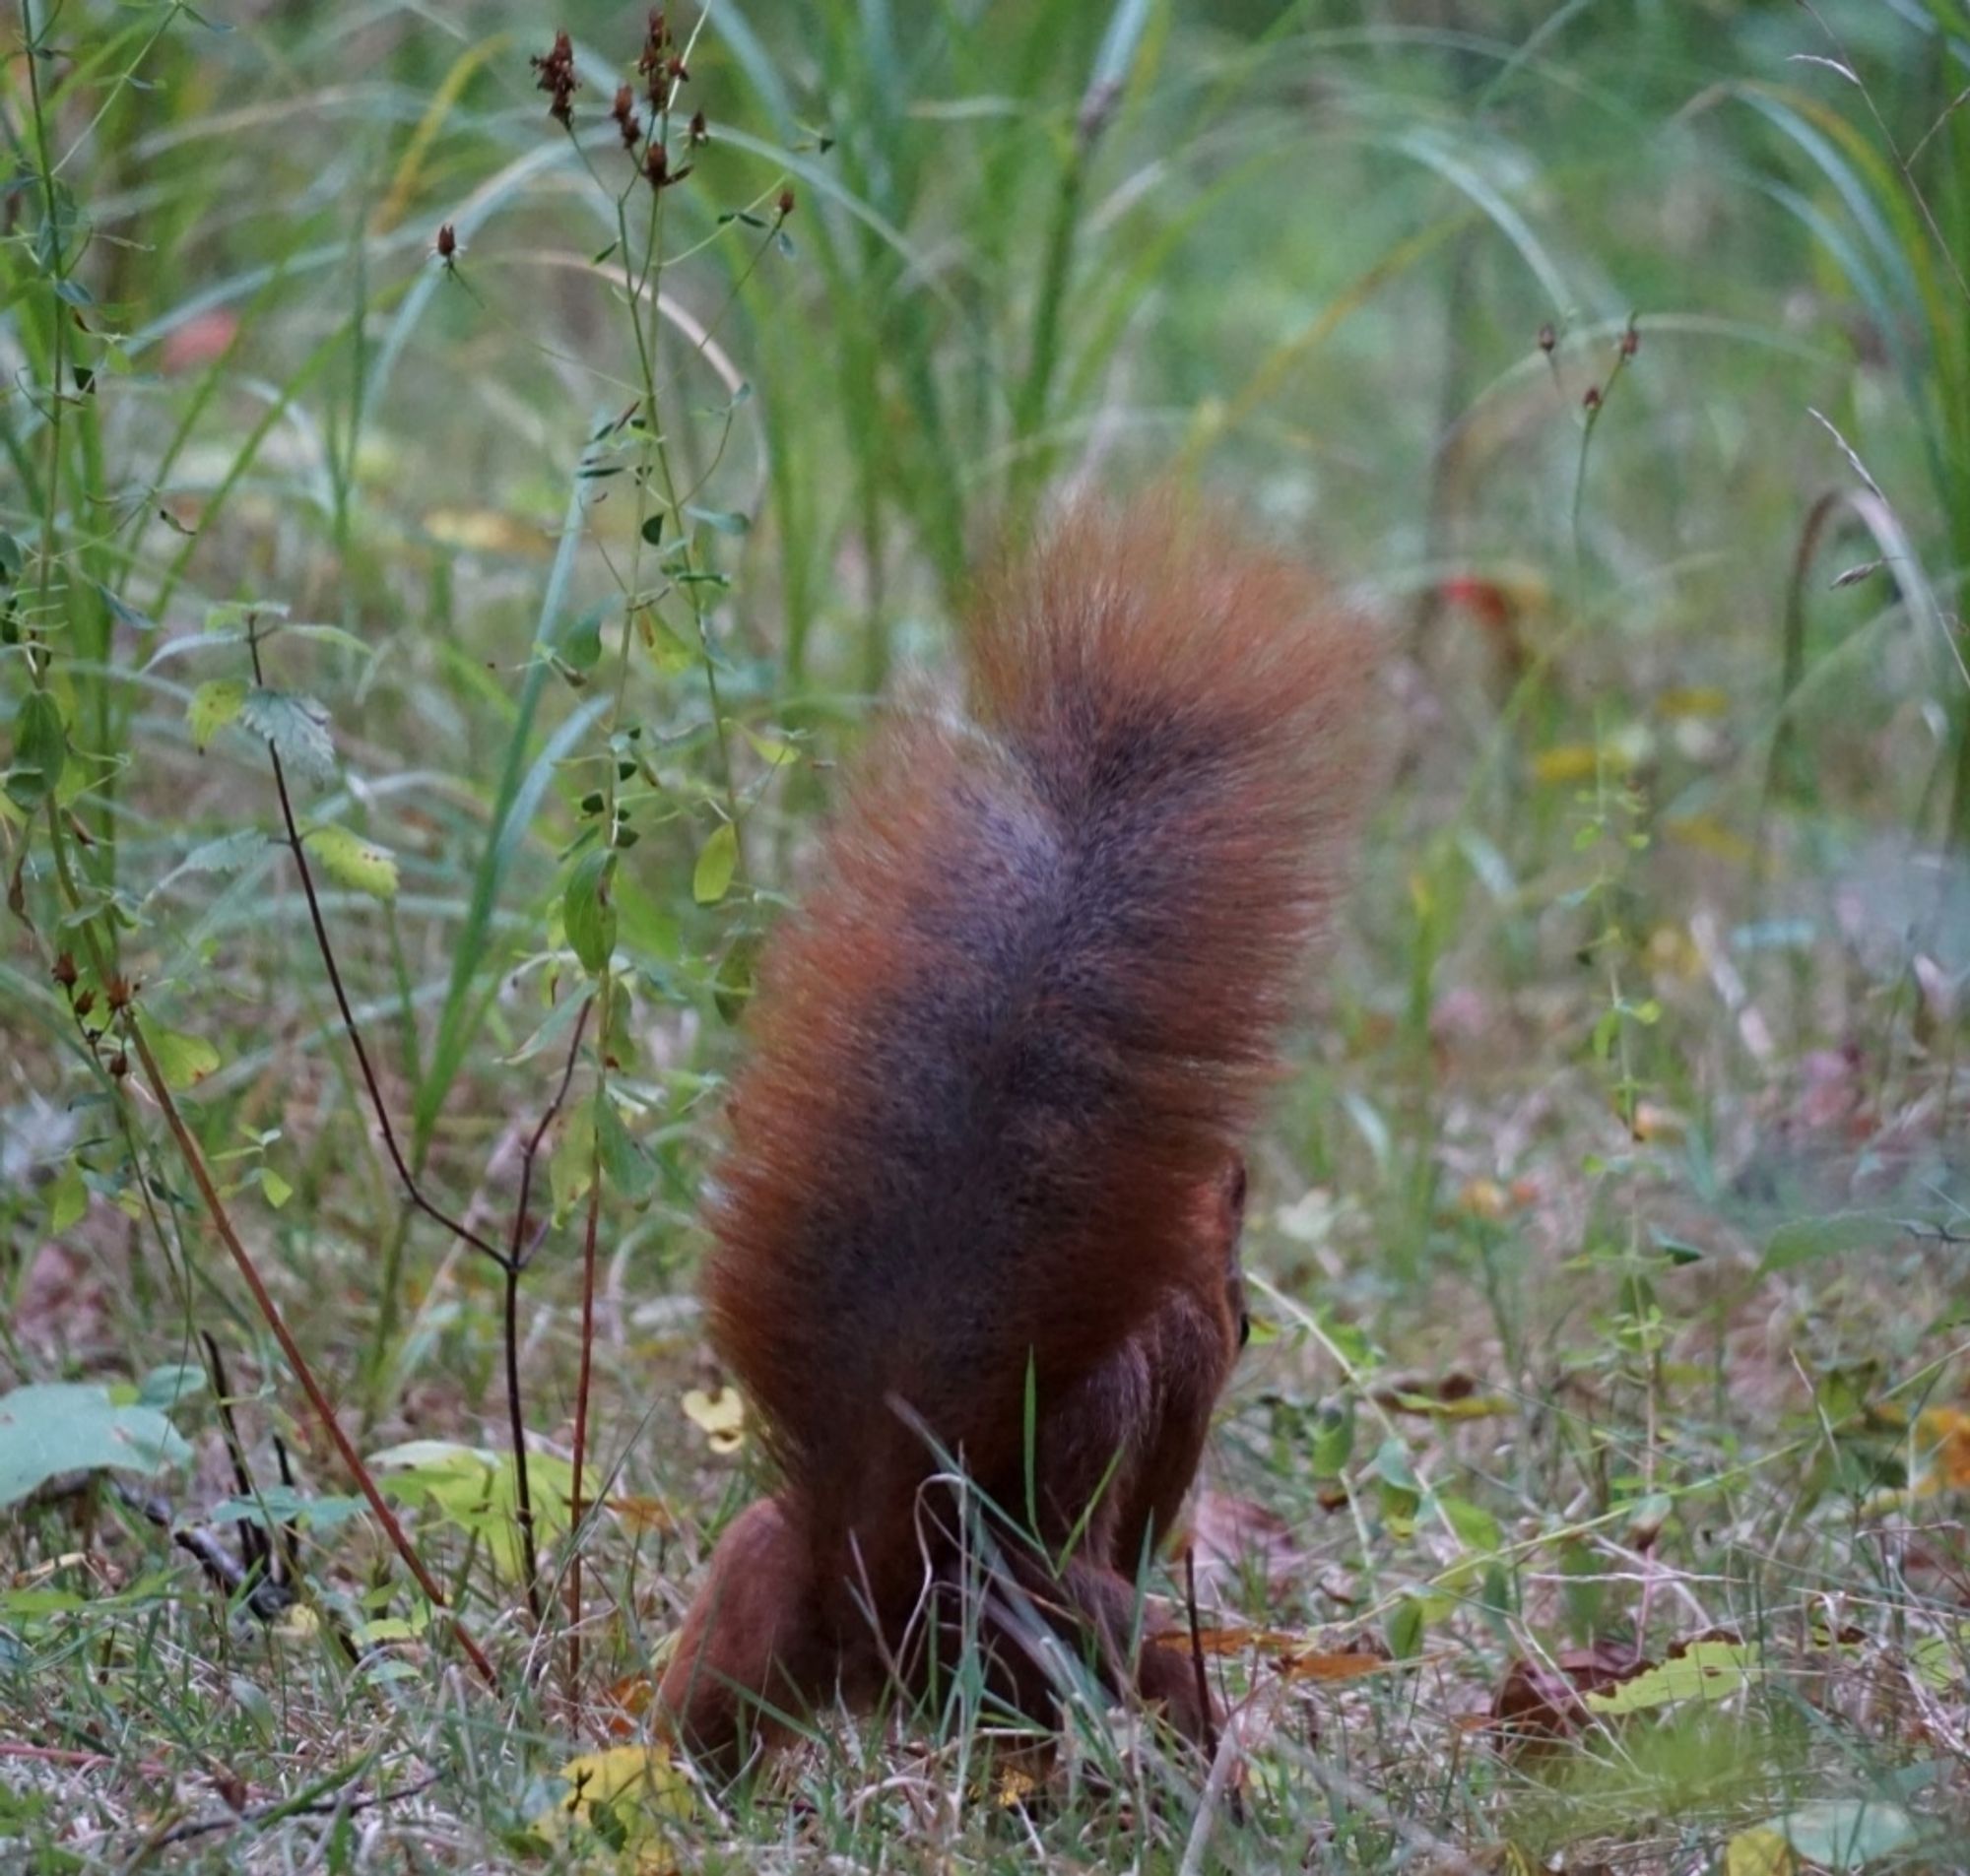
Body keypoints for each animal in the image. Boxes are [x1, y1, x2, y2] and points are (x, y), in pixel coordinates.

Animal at [654, 498, 1379, 1773]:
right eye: (1244, 1319)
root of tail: (876, 1587)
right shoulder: (1182, 1364)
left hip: (752, 1581)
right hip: (1070, 1633)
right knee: (1145, 1672)